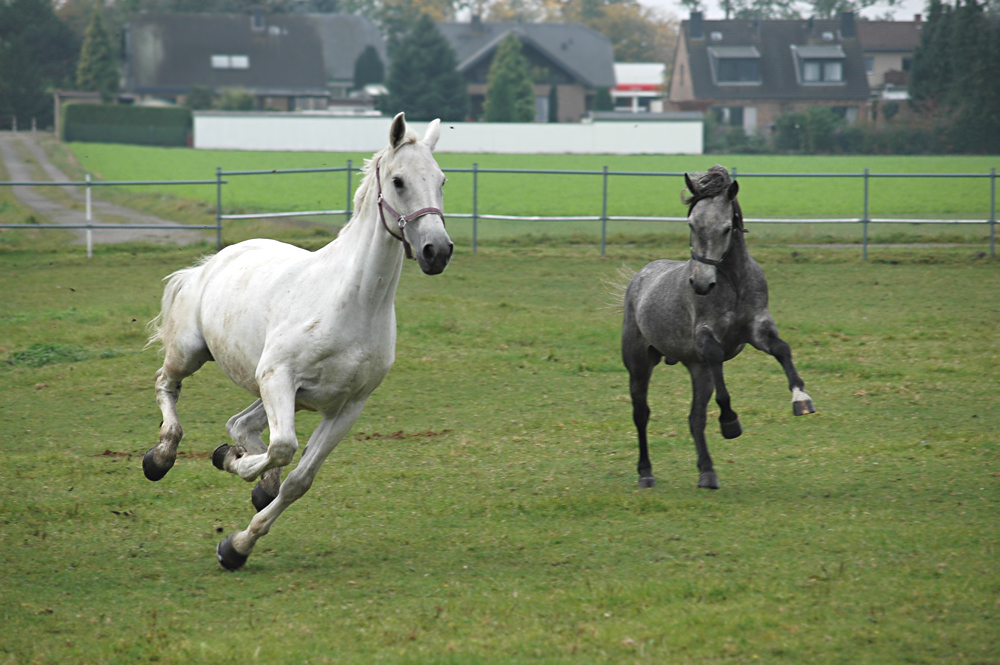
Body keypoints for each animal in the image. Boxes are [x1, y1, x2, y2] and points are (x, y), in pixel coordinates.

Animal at [141, 111, 454, 568]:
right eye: (398, 181)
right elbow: (284, 447)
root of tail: (212, 262)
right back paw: (160, 457)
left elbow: (299, 478)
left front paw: (236, 545)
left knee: (240, 425)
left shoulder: (346, 407)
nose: (438, 251)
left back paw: (251, 476)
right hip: (194, 353)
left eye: (441, 179)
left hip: (285, 395)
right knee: (167, 385)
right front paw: (231, 466)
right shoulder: (279, 377)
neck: (354, 303)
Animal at [620, 166, 816, 488]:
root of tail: (640, 276)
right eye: (691, 223)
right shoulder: (705, 337)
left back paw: (707, 473)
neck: (733, 282)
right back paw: (645, 473)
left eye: (726, 228)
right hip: (639, 364)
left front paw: (802, 399)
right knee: (641, 414)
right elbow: (717, 362)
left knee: (695, 418)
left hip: (698, 370)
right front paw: (729, 421)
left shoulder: (758, 328)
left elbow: (782, 349)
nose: (701, 284)